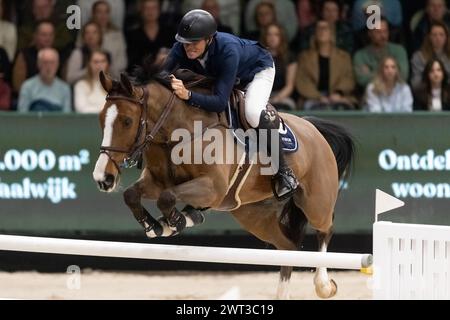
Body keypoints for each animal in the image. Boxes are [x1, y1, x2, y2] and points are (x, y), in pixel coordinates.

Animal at [93, 68, 354, 300]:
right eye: (101, 120)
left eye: (127, 121)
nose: (103, 179)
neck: (178, 133)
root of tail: (313, 128)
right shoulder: (157, 182)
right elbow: (132, 194)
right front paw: (157, 226)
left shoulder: (212, 188)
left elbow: (167, 197)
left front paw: (174, 223)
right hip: (252, 214)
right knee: (287, 248)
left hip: (315, 202)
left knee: (325, 229)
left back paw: (324, 286)